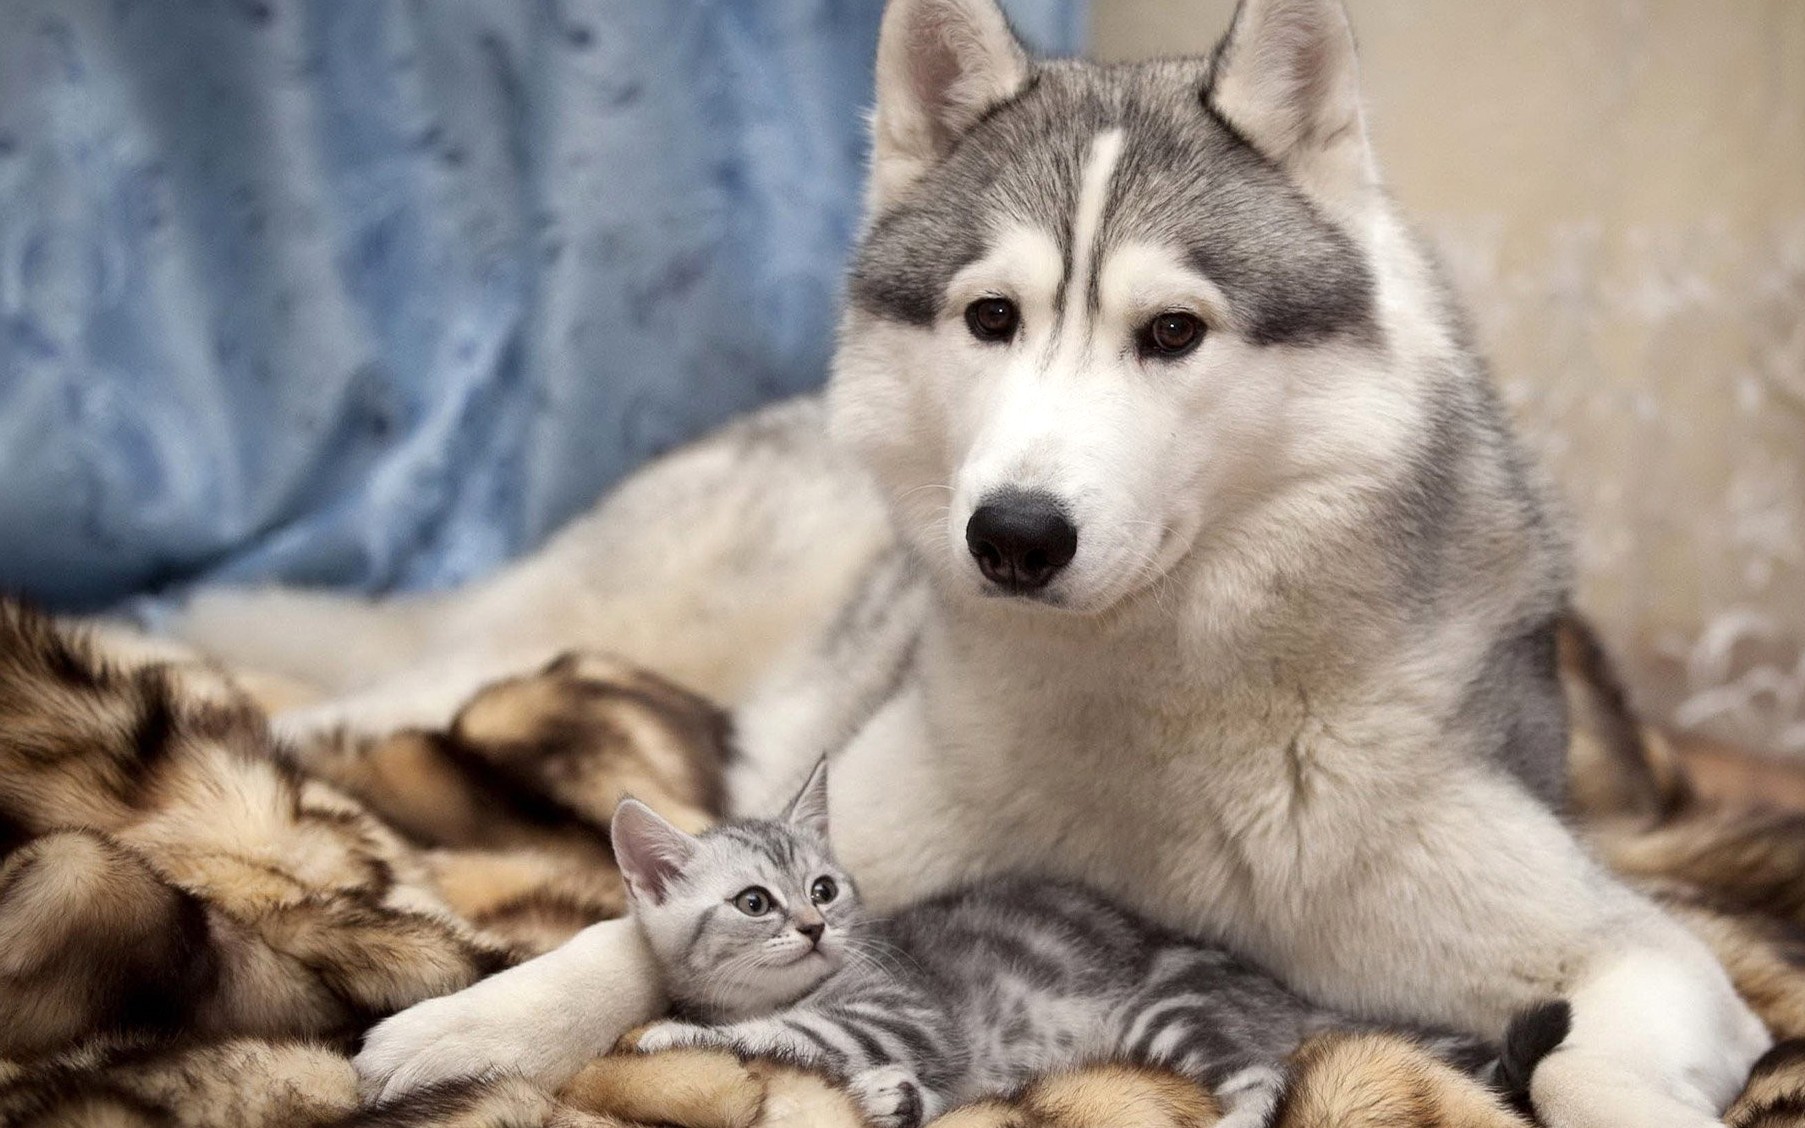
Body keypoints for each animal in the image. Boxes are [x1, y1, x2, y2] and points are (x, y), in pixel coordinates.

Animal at [613, 765, 1530, 1126]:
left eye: (823, 890)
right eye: (755, 902)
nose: (813, 929)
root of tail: (1277, 991)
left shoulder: (902, 1013)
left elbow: (783, 1032)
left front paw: (670, 1031)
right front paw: (887, 1097)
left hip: (1168, 1008)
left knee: (1262, 1076)